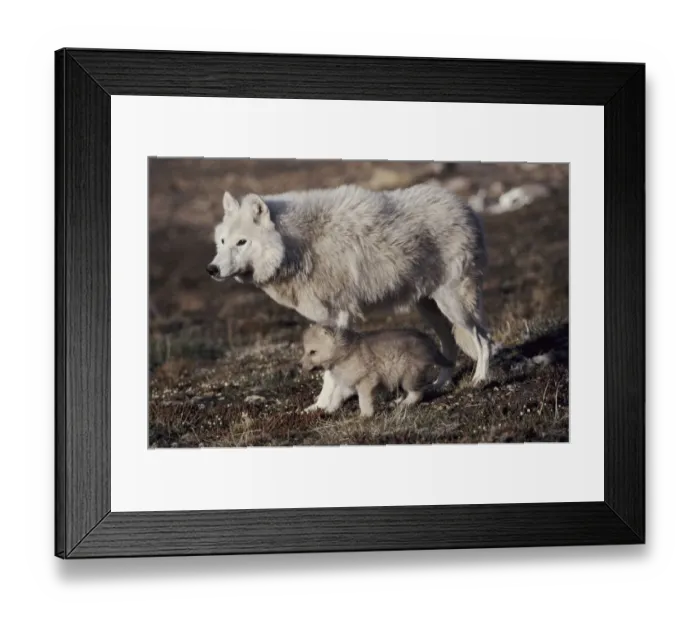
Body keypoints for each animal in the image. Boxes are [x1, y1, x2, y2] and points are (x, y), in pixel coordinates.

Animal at [300, 324, 454, 417]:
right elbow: (336, 395)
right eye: (306, 351)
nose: (300, 364)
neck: (345, 353)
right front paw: (330, 409)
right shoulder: (350, 384)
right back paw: (396, 402)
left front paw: (366, 415)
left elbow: (363, 400)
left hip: (409, 375)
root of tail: (429, 342)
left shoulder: (367, 380)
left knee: (417, 394)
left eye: (312, 352)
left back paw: (404, 405)